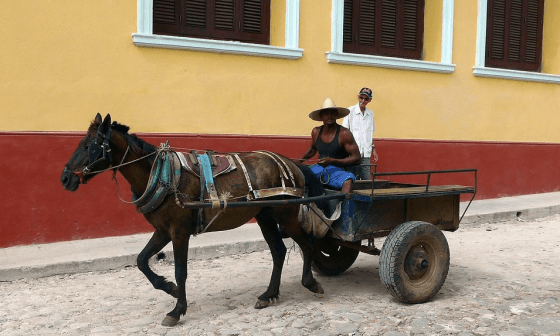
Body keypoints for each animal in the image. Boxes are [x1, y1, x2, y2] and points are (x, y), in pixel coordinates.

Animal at [60, 114, 324, 326]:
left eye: (89, 145)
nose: (65, 178)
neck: (160, 175)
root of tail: (291, 163)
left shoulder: (179, 231)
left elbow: (180, 271)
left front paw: (177, 310)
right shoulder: (162, 231)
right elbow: (141, 260)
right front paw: (170, 289)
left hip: (285, 214)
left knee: (307, 243)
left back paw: (310, 283)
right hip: (265, 215)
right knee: (279, 251)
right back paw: (269, 294)